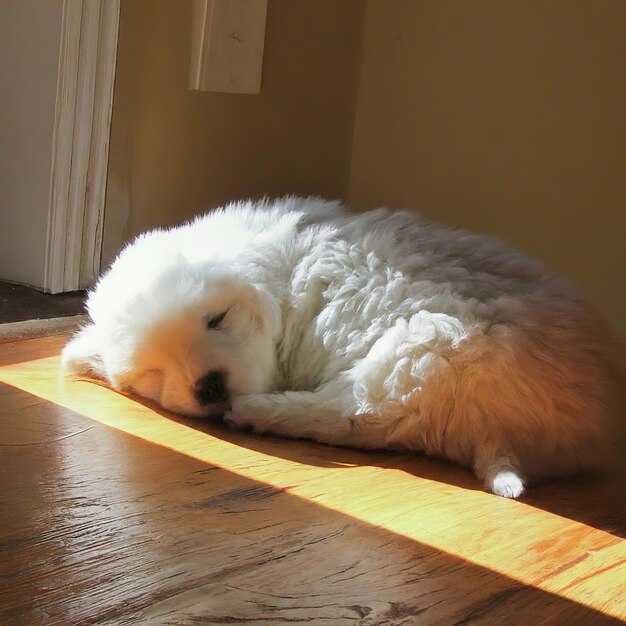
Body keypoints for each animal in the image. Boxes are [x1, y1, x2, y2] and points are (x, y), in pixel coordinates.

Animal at [62, 196, 620, 498]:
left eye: (217, 318)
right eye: (151, 373)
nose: (209, 386)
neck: (279, 278)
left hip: (424, 347)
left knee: (358, 417)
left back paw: (261, 410)